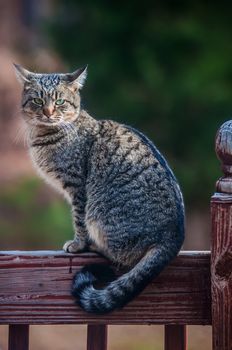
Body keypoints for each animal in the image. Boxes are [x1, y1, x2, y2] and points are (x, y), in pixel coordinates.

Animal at [14, 63, 185, 314]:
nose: (48, 112)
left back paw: (96, 246)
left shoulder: (77, 187)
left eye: (60, 101)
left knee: (122, 256)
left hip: (100, 214)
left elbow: (78, 220)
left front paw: (78, 245)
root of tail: (173, 238)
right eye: (37, 100)